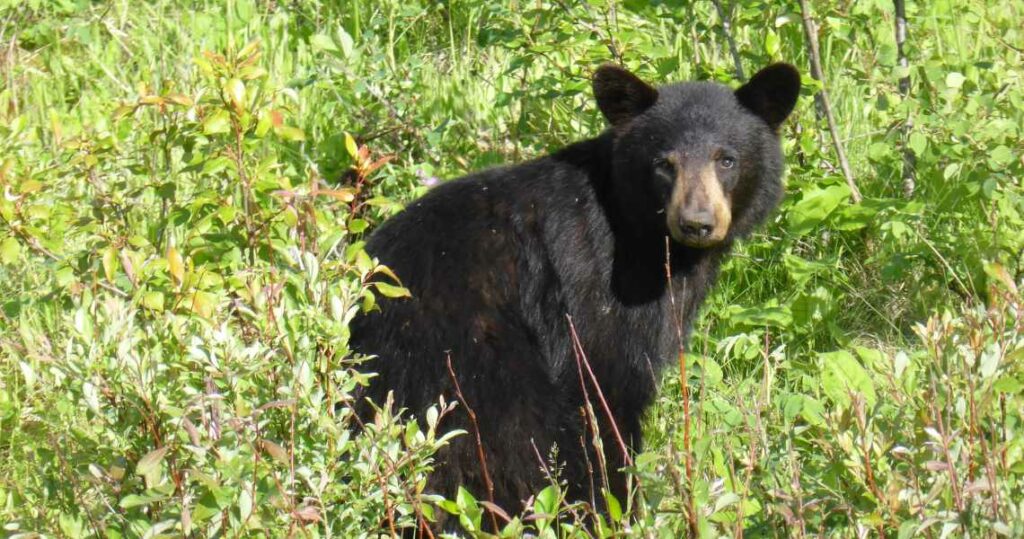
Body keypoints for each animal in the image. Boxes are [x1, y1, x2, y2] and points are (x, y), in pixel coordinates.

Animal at [349, 62, 800, 529]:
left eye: (726, 159)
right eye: (664, 163)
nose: (697, 222)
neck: (642, 234)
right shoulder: (596, 286)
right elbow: (607, 388)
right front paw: (620, 508)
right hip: (471, 369)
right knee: (519, 440)